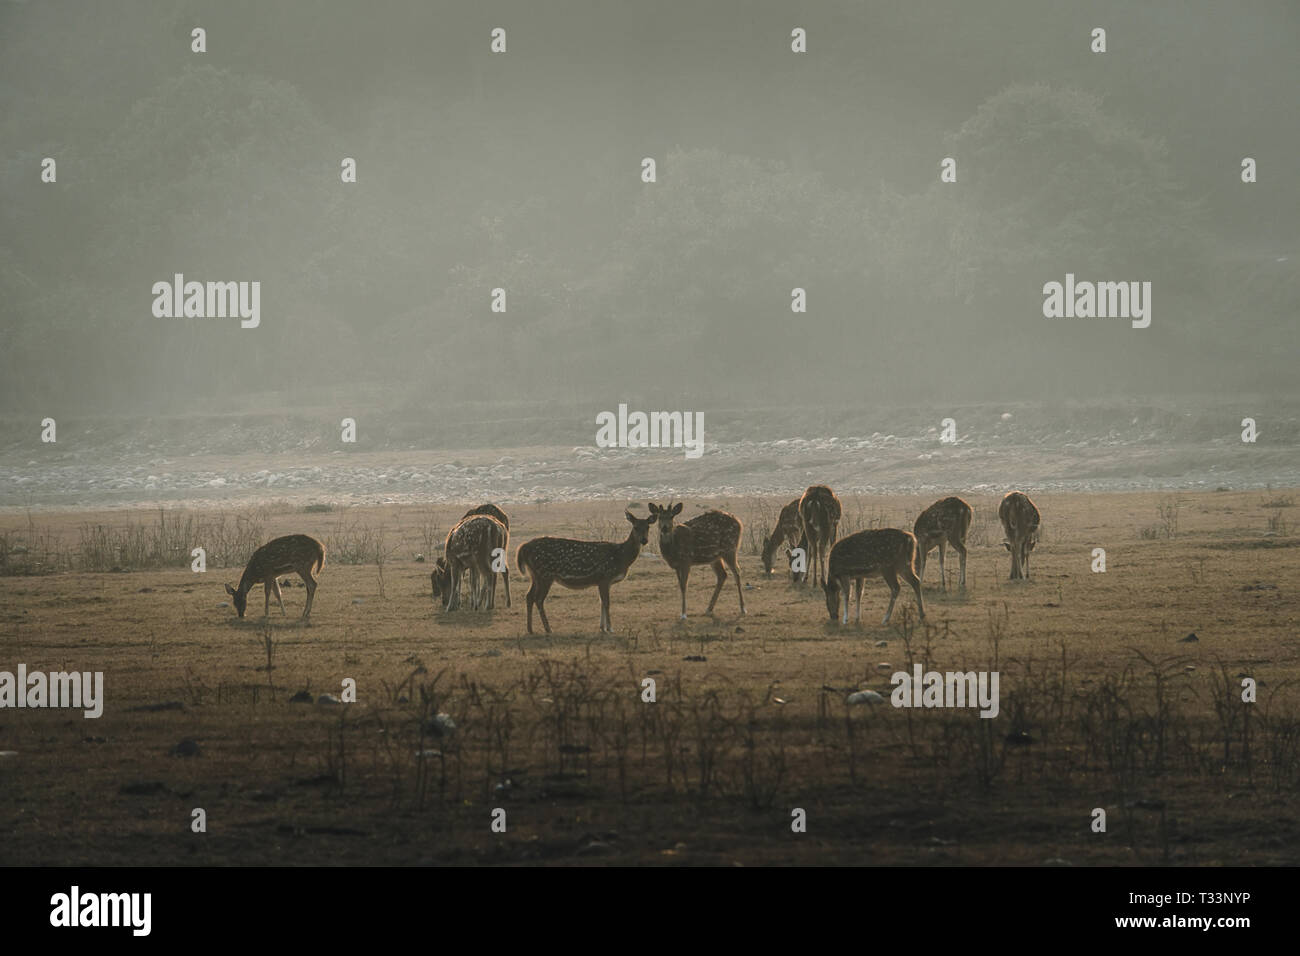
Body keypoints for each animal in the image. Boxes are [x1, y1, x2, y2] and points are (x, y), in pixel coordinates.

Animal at [514, 509, 655, 634]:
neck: (620, 556)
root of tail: (524, 547)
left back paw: (530, 629)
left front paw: (602, 628)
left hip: (535, 575)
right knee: (538, 599)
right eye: (635, 527)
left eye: (648, 527)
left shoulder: (603, 581)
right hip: (545, 574)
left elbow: (601, 602)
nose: (644, 540)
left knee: (529, 596)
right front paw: (610, 628)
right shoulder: (605, 576)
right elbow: (607, 603)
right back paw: (548, 629)